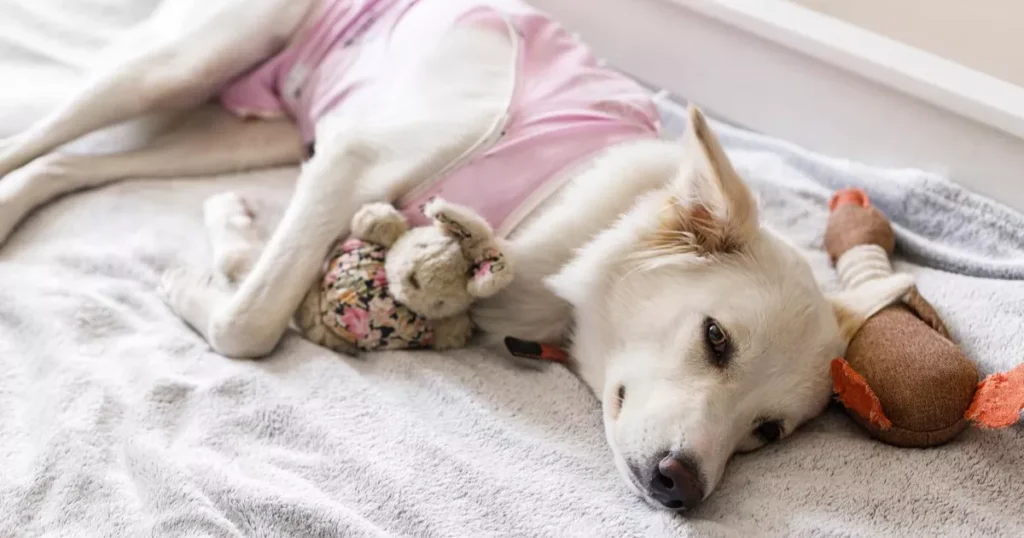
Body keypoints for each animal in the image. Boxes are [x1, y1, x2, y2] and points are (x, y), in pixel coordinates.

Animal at [0, 0, 913, 512]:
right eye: (716, 339)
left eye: (768, 433)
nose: (681, 487)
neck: (577, 213)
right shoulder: (349, 159)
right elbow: (250, 325)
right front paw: (193, 279)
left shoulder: (321, 166)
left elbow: (262, 282)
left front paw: (231, 238)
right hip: (179, 65)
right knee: (39, 135)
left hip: (246, 131)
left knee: (63, 167)